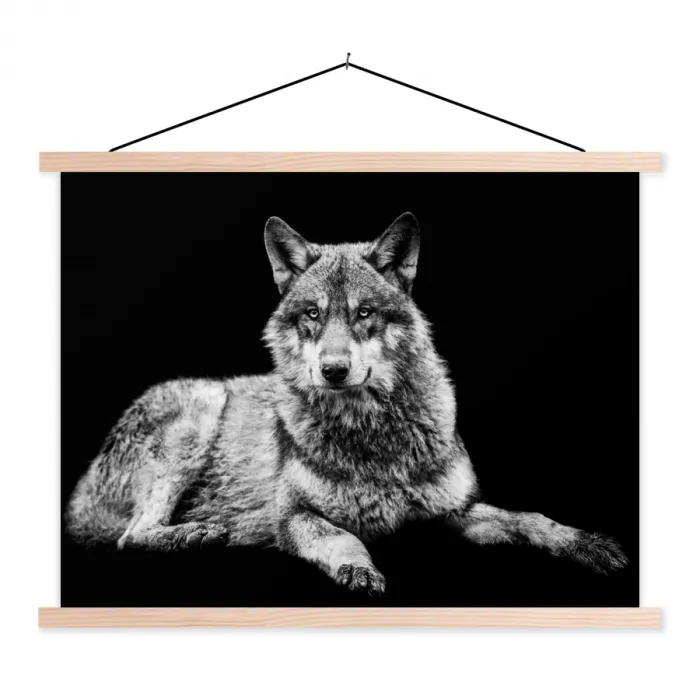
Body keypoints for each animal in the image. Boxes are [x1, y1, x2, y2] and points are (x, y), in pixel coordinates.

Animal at [66, 212, 628, 594]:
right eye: (313, 314)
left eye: (363, 313)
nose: (333, 370)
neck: (373, 436)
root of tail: (81, 490)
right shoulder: (293, 518)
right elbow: (343, 538)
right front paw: (359, 569)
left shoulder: (457, 511)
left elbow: (531, 519)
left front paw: (587, 543)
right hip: (200, 411)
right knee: (130, 536)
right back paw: (195, 534)